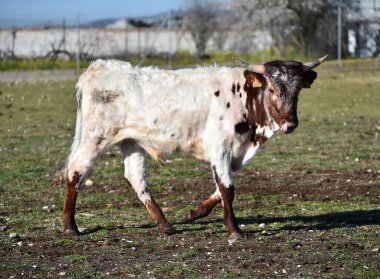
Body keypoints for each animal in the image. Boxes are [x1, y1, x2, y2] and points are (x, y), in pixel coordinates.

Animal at [60, 55, 328, 242]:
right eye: (271, 89)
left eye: (297, 91)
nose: (290, 124)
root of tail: (98, 68)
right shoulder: (220, 147)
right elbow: (227, 188)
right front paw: (233, 229)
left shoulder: (233, 153)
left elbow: (219, 190)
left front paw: (194, 213)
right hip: (94, 137)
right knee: (76, 171)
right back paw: (70, 226)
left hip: (130, 141)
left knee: (135, 177)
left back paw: (165, 225)